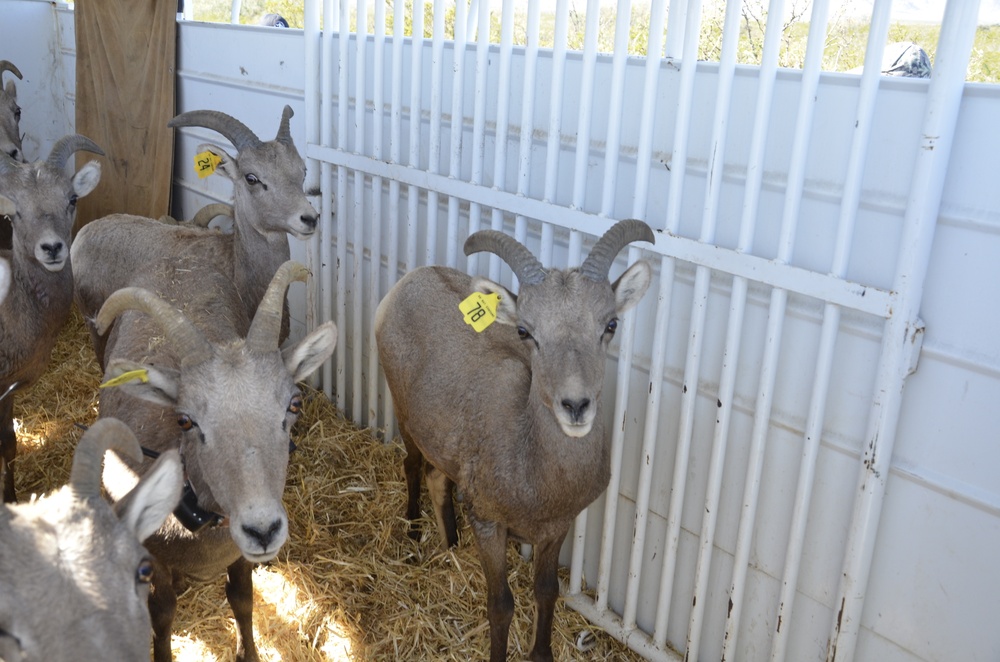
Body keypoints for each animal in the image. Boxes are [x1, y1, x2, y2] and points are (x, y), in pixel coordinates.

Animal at [0, 139, 103, 504]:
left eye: (71, 199)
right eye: (13, 211)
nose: (52, 247)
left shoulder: (8, 390)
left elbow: (8, 444)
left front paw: (11, 499)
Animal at [73, 105, 318, 364]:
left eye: (302, 171)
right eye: (252, 178)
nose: (309, 218)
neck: (238, 271)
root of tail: (82, 236)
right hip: (96, 324)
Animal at [94, 260, 336, 662]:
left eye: (294, 404)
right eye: (185, 420)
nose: (262, 530)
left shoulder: (237, 554)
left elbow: (242, 600)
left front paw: (248, 653)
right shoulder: (151, 554)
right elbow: (162, 615)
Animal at [376, 220, 656, 660]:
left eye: (610, 325)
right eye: (525, 331)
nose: (575, 405)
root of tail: (407, 282)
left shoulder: (557, 527)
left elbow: (546, 590)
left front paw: (541, 653)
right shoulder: (489, 522)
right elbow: (501, 604)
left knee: (439, 479)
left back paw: (451, 544)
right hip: (406, 417)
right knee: (412, 465)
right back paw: (414, 532)